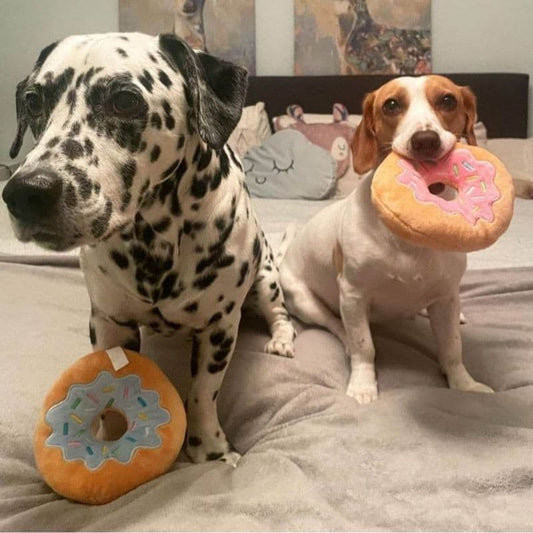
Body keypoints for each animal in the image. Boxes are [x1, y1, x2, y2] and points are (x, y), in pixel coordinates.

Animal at [3, 34, 296, 466]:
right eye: (34, 101)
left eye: (124, 100)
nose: (26, 192)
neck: (153, 240)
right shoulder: (110, 323)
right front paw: (109, 437)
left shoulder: (219, 328)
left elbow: (203, 393)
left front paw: (210, 449)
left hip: (266, 280)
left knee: (279, 312)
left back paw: (282, 339)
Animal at [280, 76, 492, 404]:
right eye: (391, 105)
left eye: (448, 101)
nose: (425, 140)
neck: (411, 232)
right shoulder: (353, 295)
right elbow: (364, 347)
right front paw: (363, 386)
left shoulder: (446, 297)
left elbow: (452, 348)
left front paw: (464, 384)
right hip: (304, 301)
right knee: (335, 325)